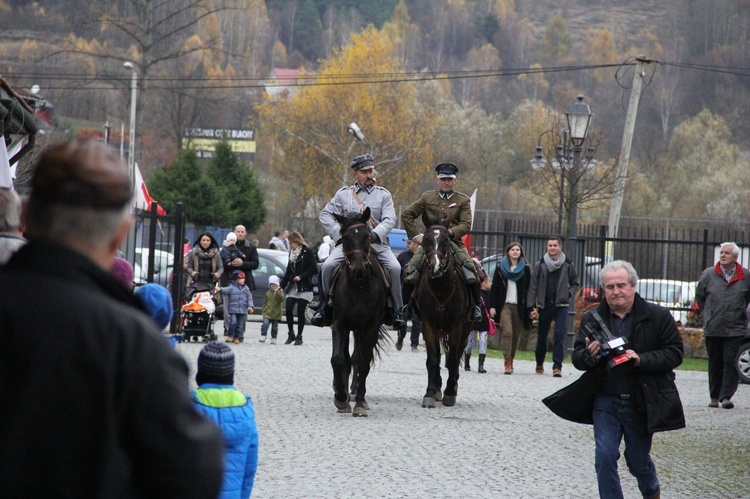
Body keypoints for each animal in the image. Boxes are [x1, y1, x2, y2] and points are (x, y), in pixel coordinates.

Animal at [330, 207, 388, 418]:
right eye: (345, 237)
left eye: (367, 236)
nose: (358, 270)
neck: (358, 287)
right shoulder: (339, 325)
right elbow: (339, 359)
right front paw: (341, 397)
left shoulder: (371, 328)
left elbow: (363, 362)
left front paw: (360, 402)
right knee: (347, 359)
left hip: (361, 331)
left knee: (358, 358)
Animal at [414, 222, 472, 406]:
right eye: (426, 239)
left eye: (446, 240)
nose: (436, 267)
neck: (441, 287)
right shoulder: (428, 325)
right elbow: (433, 359)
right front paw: (430, 393)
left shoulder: (456, 326)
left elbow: (453, 359)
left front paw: (449, 393)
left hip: (466, 328)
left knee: (457, 355)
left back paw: (452, 386)